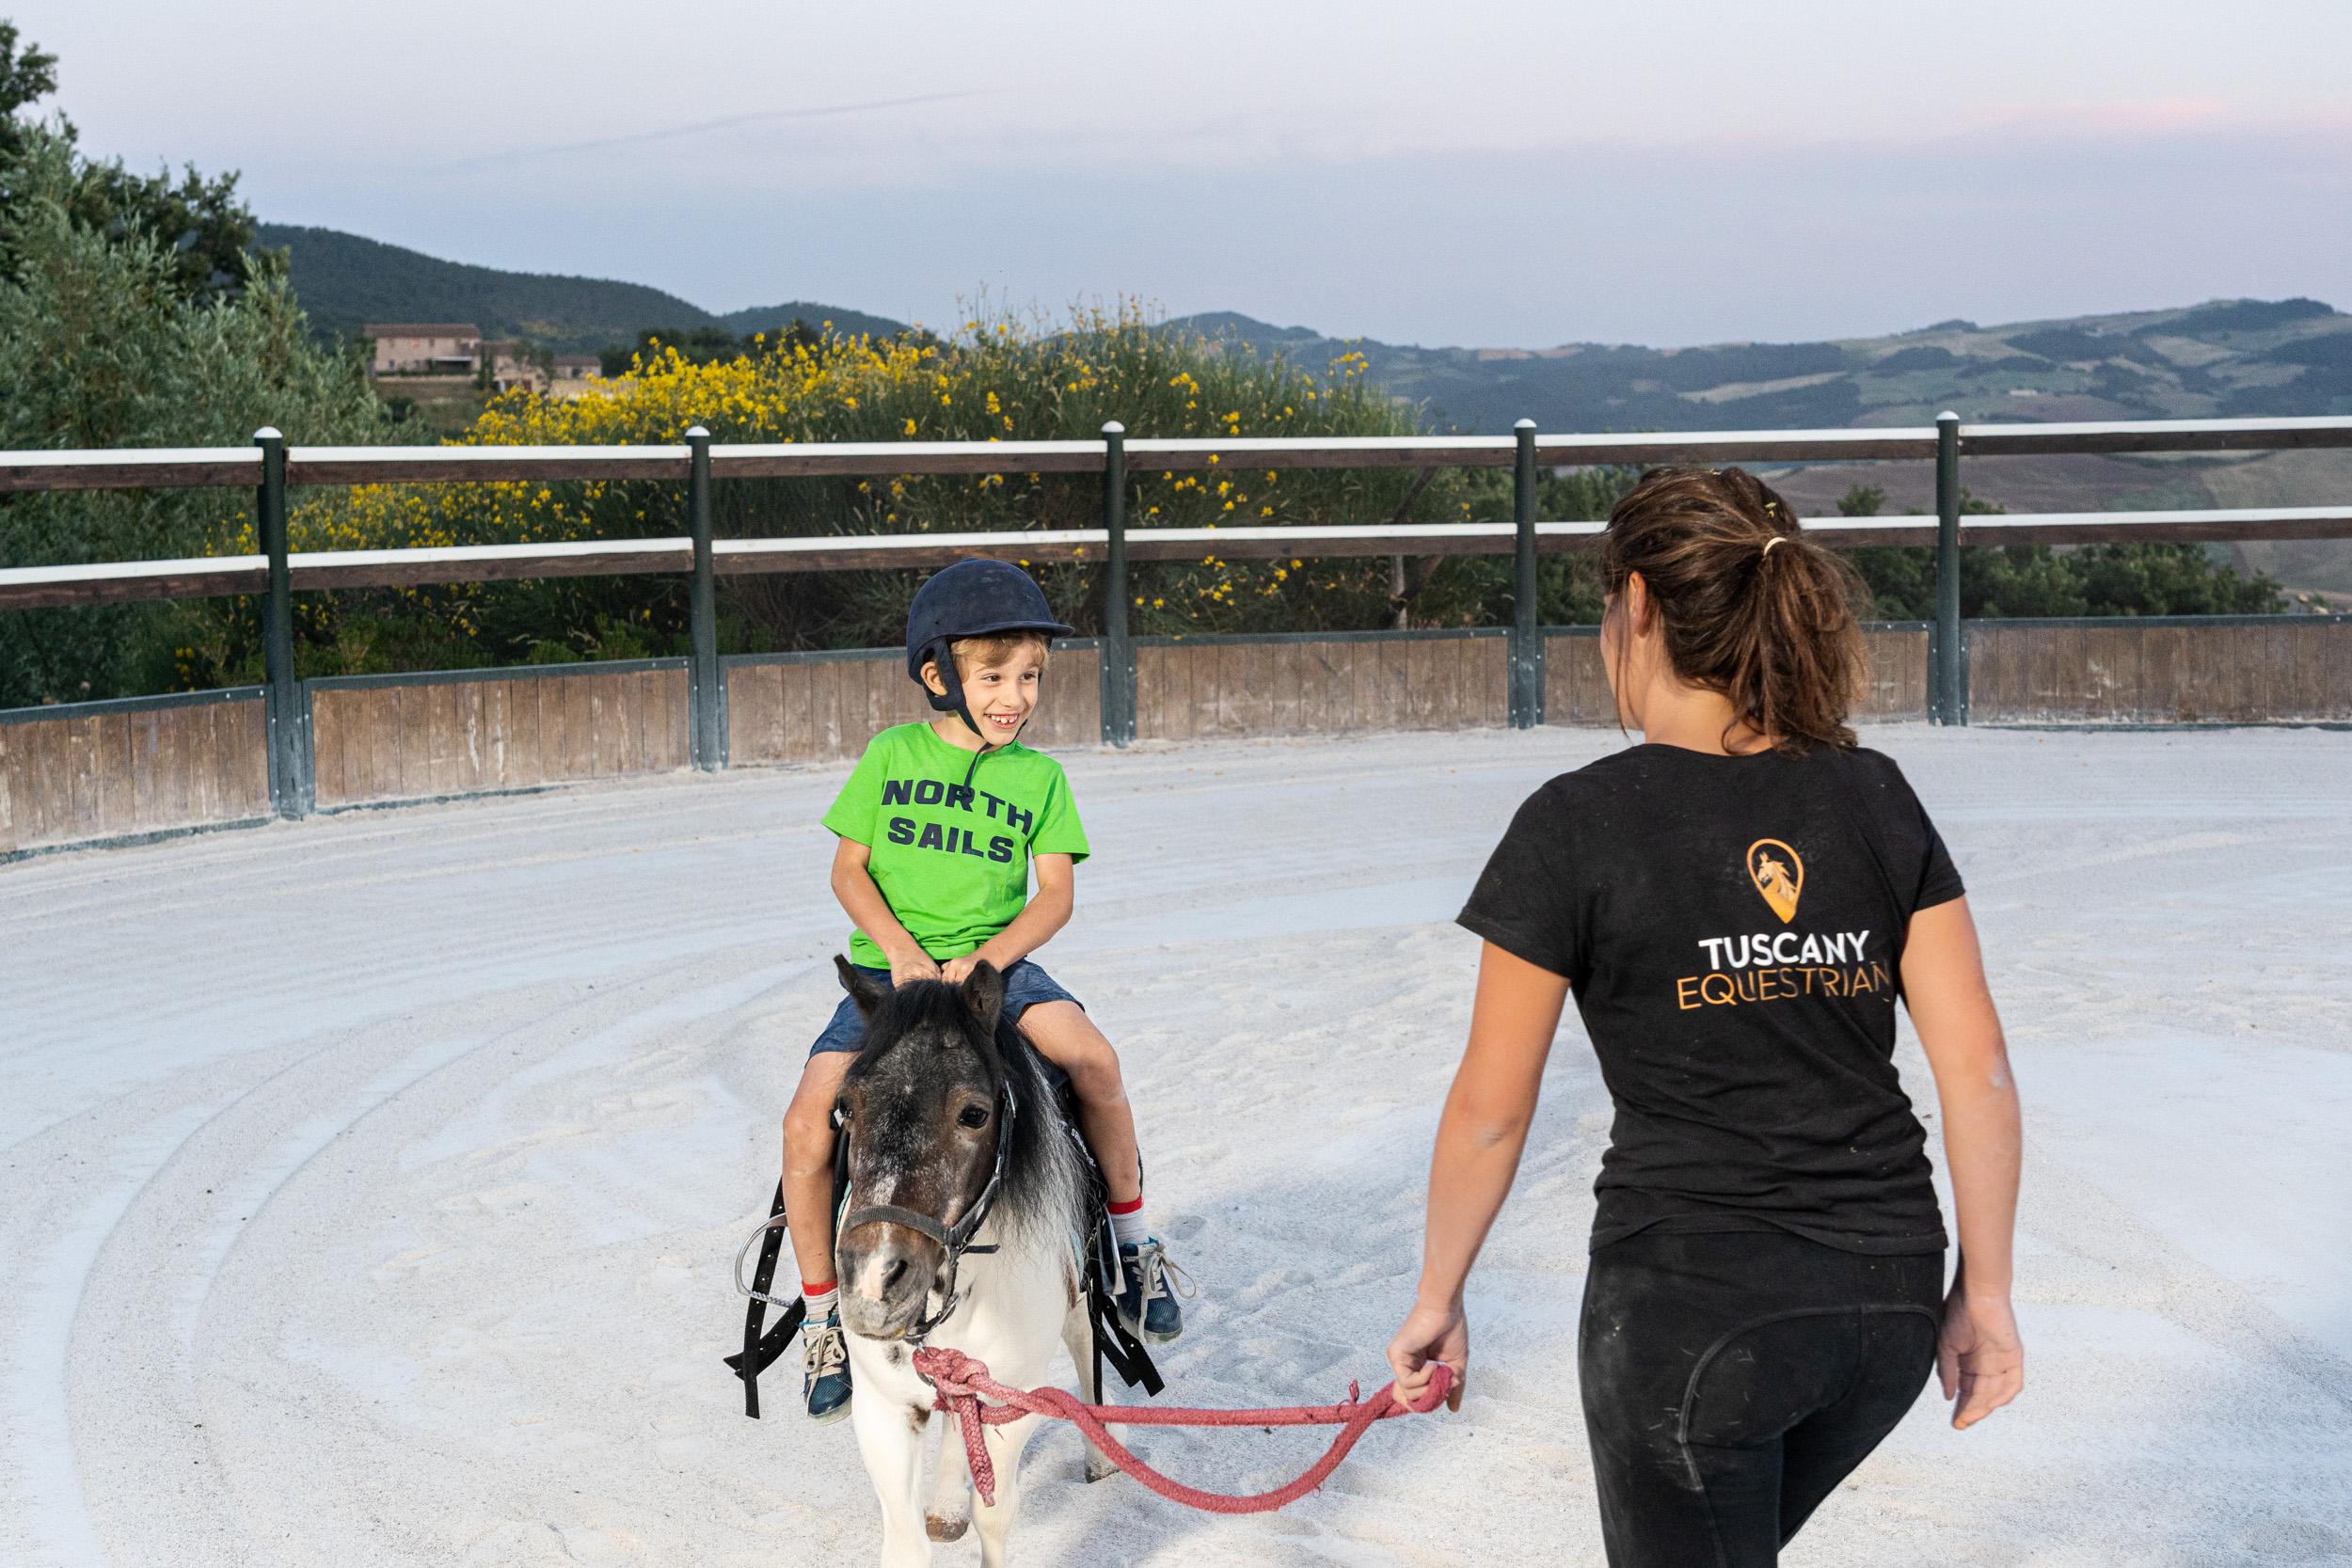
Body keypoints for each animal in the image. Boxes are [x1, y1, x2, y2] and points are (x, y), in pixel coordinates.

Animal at [828, 958, 1120, 1568]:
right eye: (846, 1107)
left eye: (974, 1113)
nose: (873, 1283)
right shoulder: (882, 1410)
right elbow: (905, 1541)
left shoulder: (1014, 1401)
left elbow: (995, 1519)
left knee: (1085, 1346)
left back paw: (1101, 1454)